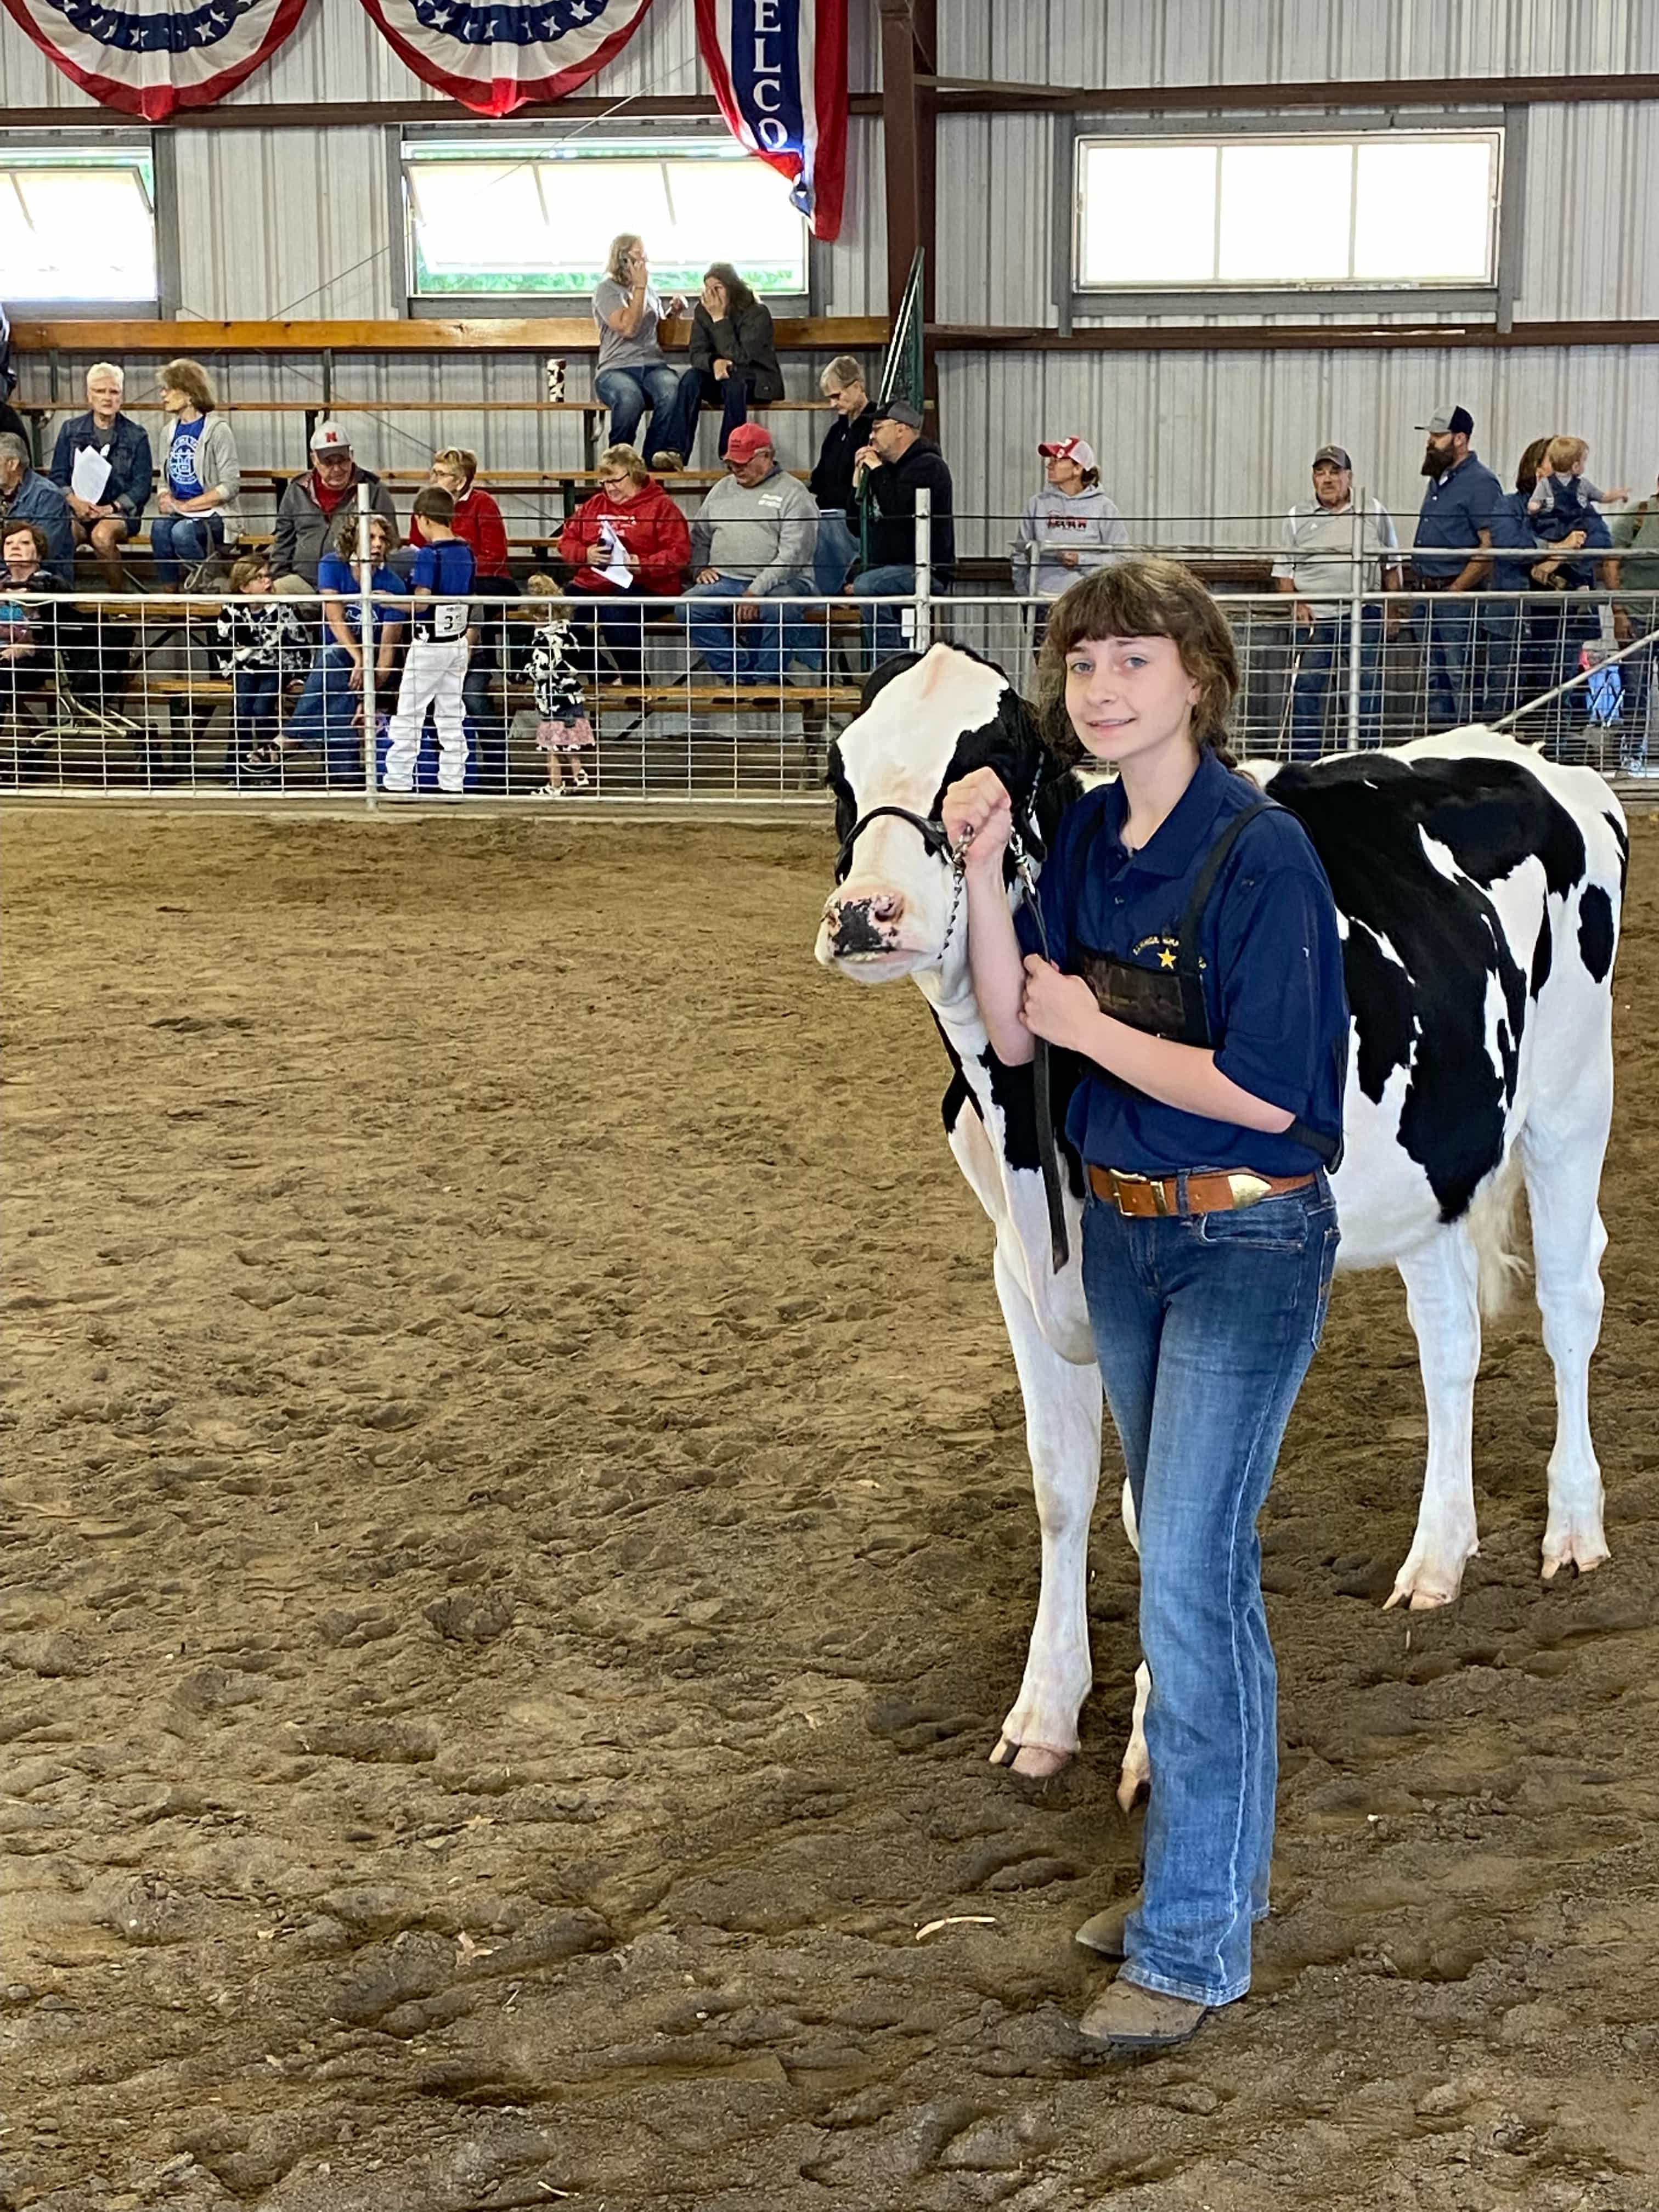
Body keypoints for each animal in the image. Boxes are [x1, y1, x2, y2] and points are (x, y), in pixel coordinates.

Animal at [814, 641, 1628, 1796]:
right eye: (839, 775)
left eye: (988, 766)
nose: (864, 913)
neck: (1021, 1117)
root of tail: (1531, 757)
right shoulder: (1017, 1270)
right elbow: (1059, 1489)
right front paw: (1043, 1711)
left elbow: (1160, 1504)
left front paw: (1154, 1745)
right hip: (1433, 1160)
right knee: (1447, 1341)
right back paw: (1435, 1556)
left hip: (1568, 1098)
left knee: (1566, 1302)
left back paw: (1569, 1526)